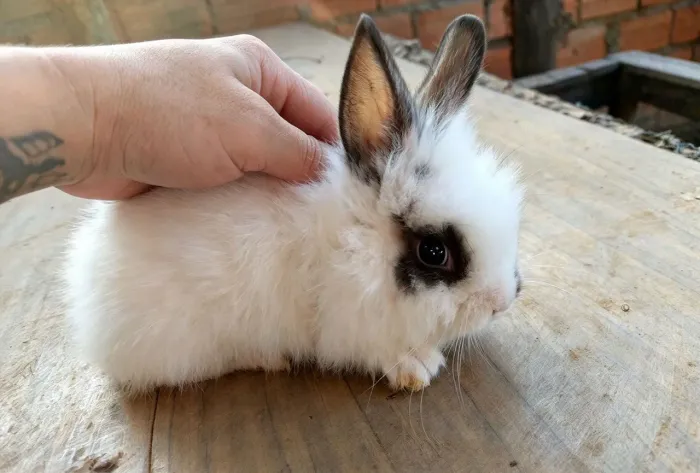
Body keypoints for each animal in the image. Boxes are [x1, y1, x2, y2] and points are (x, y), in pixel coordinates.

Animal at [61, 13, 525, 395]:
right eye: (433, 251)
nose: (503, 302)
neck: (349, 244)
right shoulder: (348, 328)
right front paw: (419, 366)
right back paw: (270, 359)